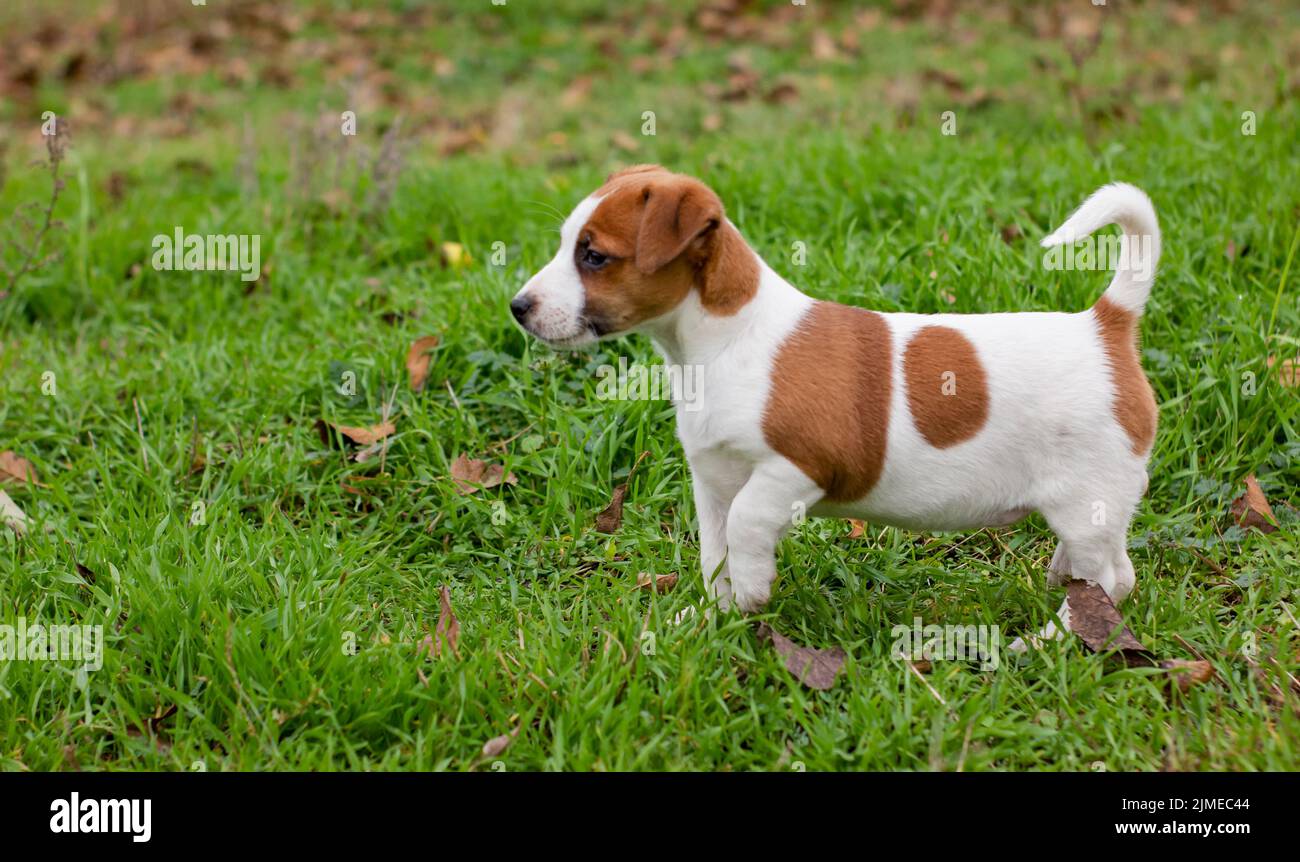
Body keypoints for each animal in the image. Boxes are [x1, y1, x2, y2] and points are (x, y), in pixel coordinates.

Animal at [506, 165, 1159, 644]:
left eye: (594, 257)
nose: (518, 307)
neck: (724, 340)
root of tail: (1105, 326)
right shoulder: (712, 483)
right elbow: (714, 555)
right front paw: (711, 621)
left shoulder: (799, 466)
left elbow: (746, 525)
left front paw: (753, 590)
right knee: (1100, 569)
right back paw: (1059, 584)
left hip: (1085, 501)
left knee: (1112, 579)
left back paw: (1051, 639)